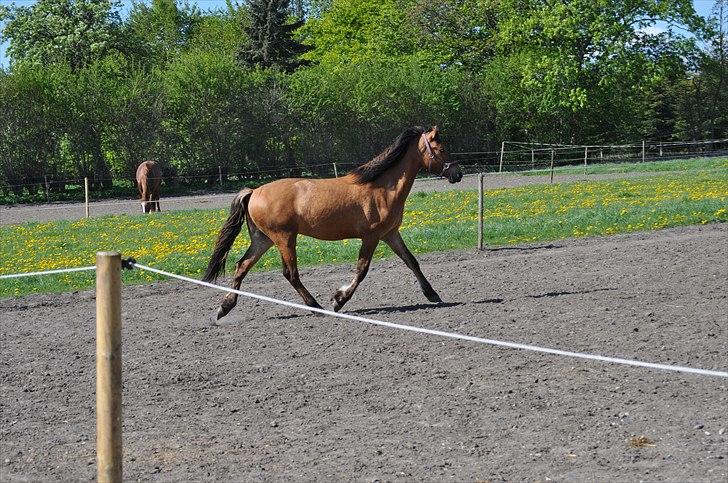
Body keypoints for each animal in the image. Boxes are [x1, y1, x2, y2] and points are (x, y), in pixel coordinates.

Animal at [202, 126, 464, 320]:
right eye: (441, 148)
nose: (457, 174)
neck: (382, 188)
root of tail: (254, 192)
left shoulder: (390, 234)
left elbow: (412, 261)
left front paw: (432, 294)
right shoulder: (371, 236)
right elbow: (362, 270)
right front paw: (339, 300)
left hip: (263, 239)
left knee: (242, 266)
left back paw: (224, 308)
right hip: (284, 238)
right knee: (290, 273)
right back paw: (316, 306)